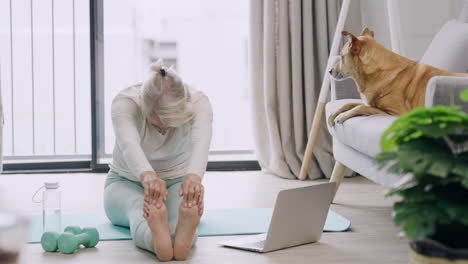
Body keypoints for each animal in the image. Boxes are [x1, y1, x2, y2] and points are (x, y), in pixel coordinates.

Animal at [328, 27, 468, 127]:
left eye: (341, 57)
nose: (329, 71)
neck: (377, 71)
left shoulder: (396, 113)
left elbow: (361, 107)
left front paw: (342, 116)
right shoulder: (370, 103)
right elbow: (349, 103)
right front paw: (333, 115)